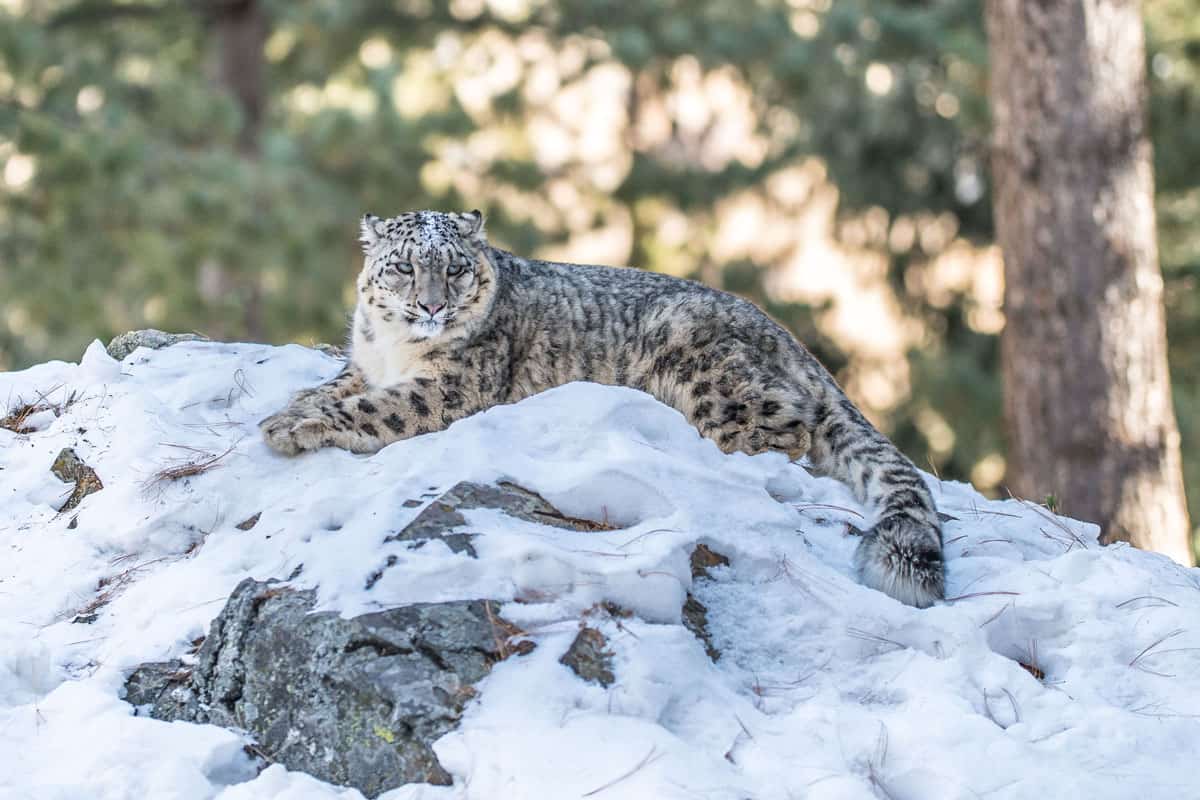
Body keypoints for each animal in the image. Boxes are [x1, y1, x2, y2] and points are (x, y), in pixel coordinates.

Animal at [262, 211, 945, 606]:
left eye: (455, 269)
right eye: (403, 266)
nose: (432, 306)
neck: (395, 347)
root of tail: (788, 338)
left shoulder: (450, 389)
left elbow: (375, 410)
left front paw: (290, 428)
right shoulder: (362, 366)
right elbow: (334, 387)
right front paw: (290, 408)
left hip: (706, 371)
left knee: (788, 431)